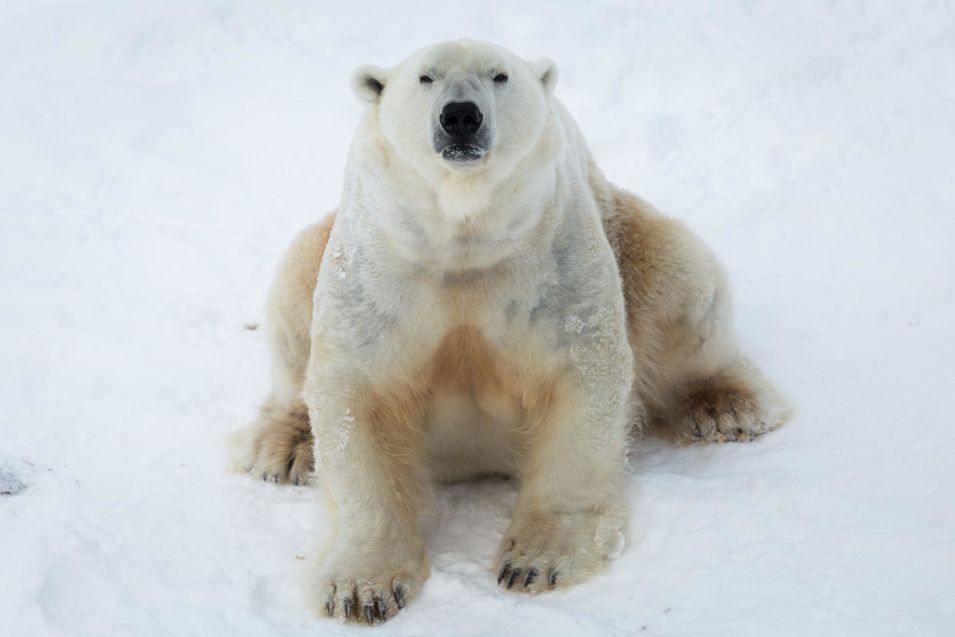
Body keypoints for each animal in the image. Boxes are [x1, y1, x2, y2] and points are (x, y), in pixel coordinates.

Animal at [237, 38, 792, 620]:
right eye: (426, 78)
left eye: (499, 75)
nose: (461, 116)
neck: (463, 233)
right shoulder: (382, 268)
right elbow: (357, 392)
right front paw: (361, 590)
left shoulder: (551, 261)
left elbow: (581, 377)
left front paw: (534, 564)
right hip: (317, 248)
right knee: (293, 301)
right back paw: (285, 451)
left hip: (630, 235)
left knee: (683, 280)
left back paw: (725, 409)